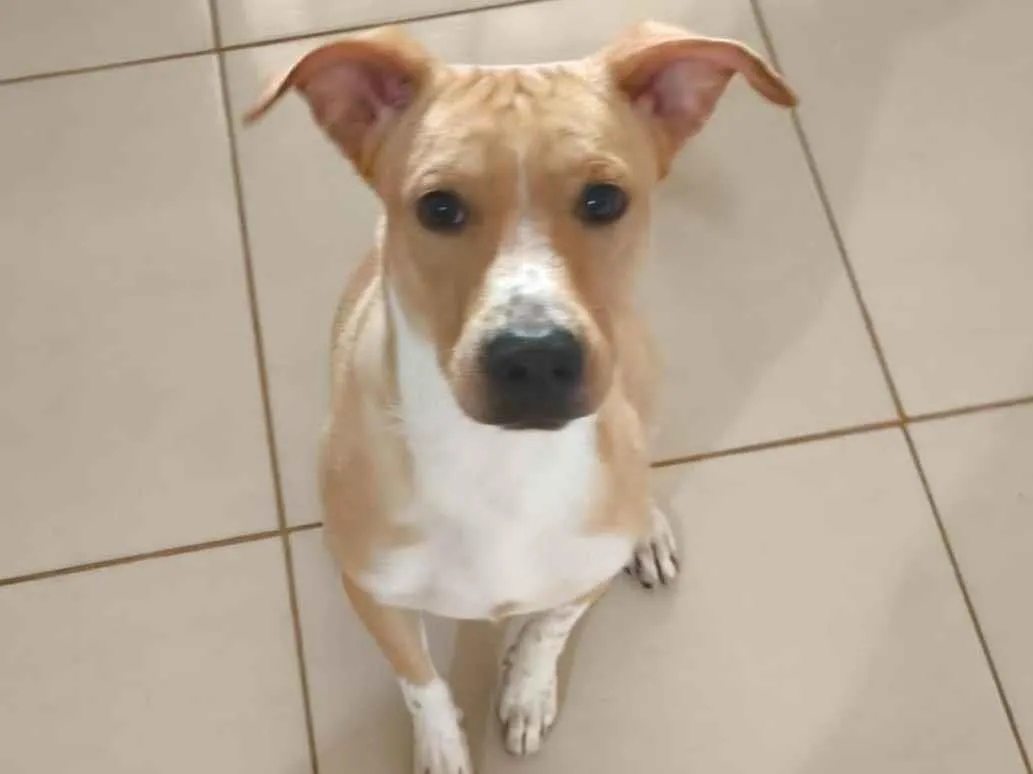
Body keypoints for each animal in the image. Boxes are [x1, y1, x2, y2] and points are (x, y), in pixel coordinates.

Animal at [246, 20, 795, 773]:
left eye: (603, 199)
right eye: (438, 208)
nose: (534, 357)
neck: (500, 465)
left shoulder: (582, 572)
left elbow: (547, 631)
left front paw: (526, 691)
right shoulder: (375, 596)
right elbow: (420, 681)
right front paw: (443, 745)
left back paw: (647, 528)